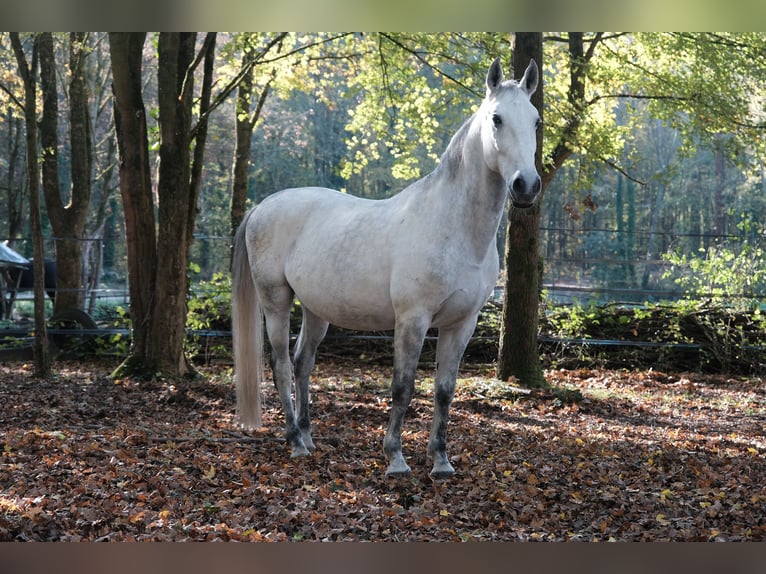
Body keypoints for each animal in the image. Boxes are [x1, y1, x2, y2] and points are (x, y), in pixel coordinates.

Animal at [231, 58, 544, 482]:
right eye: (496, 119)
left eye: (536, 122)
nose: (526, 185)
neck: (453, 227)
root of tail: (262, 207)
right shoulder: (413, 320)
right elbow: (403, 386)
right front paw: (395, 458)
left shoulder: (461, 324)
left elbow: (444, 390)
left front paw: (441, 461)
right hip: (276, 302)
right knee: (280, 365)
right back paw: (295, 442)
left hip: (315, 310)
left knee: (302, 363)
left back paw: (309, 438)